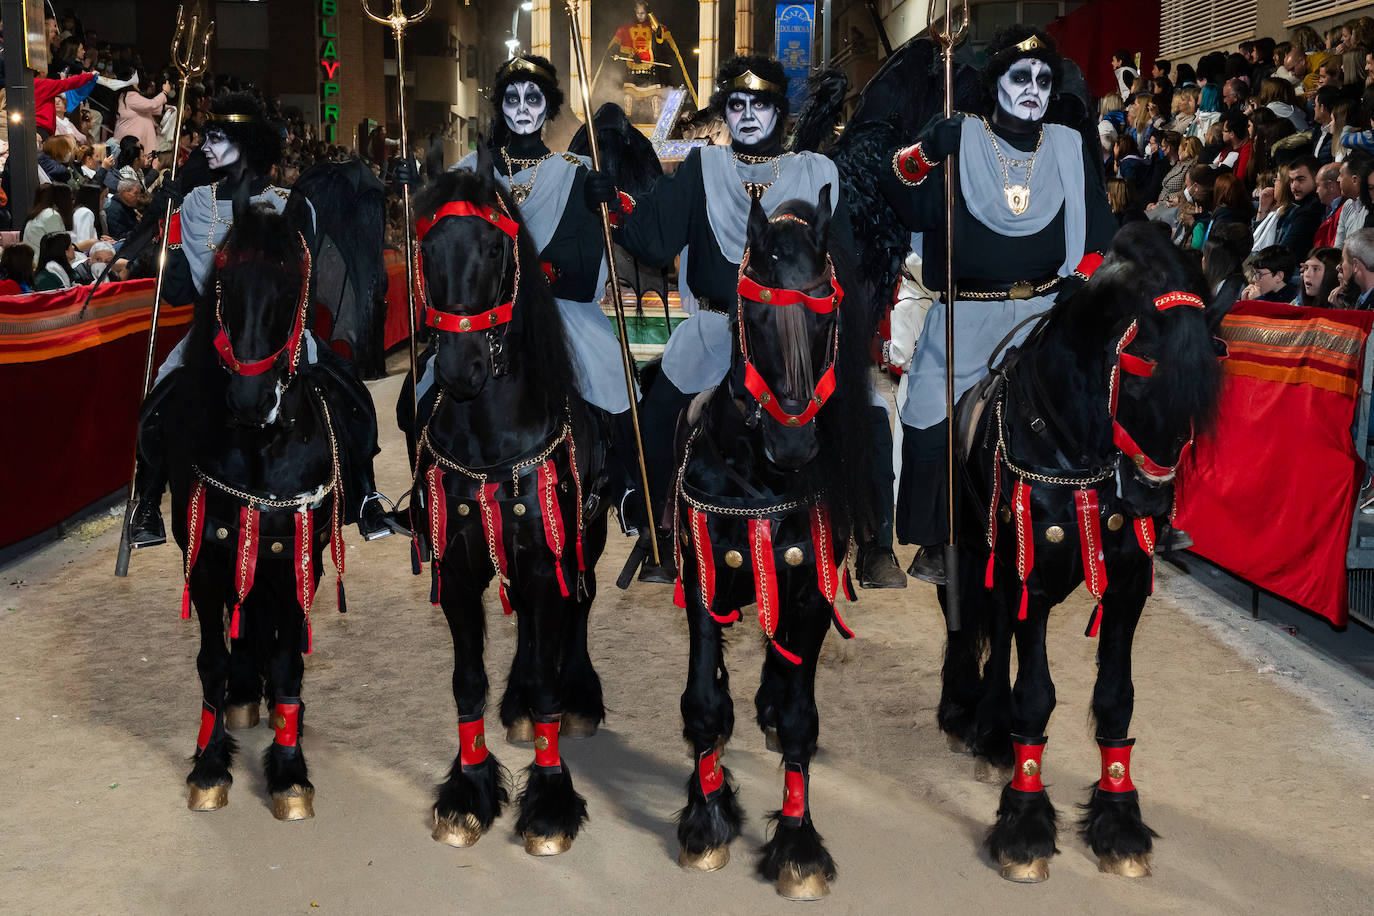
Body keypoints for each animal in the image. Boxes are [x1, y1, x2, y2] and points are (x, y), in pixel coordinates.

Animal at [157, 199, 379, 818]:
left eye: (291, 290)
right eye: (226, 287)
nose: (249, 401)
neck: (259, 447)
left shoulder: (295, 558)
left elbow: (287, 660)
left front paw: (288, 772)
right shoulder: (207, 560)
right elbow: (211, 659)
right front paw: (210, 766)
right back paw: (240, 695)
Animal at [406, 161, 612, 856]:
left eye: (495, 250)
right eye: (426, 250)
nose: (458, 368)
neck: (491, 439)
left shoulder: (550, 559)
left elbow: (550, 668)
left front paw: (549, 803)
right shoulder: (459, 567)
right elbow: (467, 680)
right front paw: (469, 790)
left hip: (583, 541)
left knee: (579, 609)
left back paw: (579, 696)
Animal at [670, 189, 873, 900]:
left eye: (825, 315)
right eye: (755, 315)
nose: (794, 445)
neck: (757, 476)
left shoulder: (808, 593)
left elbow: (799, 717)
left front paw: (797, 846)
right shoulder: (705, 583)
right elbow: (704, 702)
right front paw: (706, 819)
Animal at [939, 222, 1231, 878]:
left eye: (1205, 384)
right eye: (1143, 368)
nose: (1152, 498)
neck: (1074, 448)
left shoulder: (1126, 584)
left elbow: (1116, 698)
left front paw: (1118, 823)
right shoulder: (1032, 578)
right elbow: (1036, 696)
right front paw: (1024, 826)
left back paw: (991, 730)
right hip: (974, 551)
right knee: (968, 625)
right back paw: (968, 716)